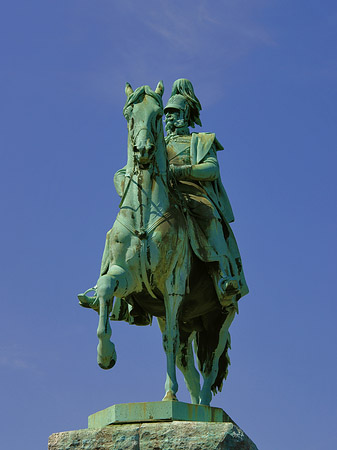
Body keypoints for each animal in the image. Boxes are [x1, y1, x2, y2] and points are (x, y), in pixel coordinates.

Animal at [79, 81, 236, 408]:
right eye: (129, 114)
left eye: (158, 115)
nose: (144, 150)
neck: (144, 212)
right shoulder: (128, 278)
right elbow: (105, 290)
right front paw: (106, 355)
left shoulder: (172, 286)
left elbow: (170, 341)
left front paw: (169, 392)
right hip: (184, 320)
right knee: (186, 362)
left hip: (219, 318)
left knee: (209, 363)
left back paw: (202, 406)